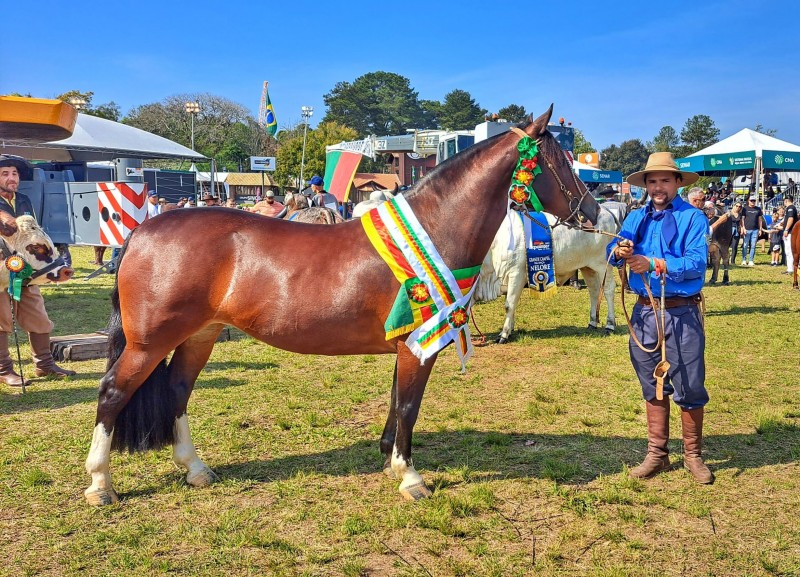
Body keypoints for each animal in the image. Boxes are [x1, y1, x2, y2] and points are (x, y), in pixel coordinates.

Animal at [86, 106, 600, 506]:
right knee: (112, 393)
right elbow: (409, 404)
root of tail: (142, 231)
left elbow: (396, 401)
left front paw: (390, 457)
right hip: (149, 343)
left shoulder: (406, 346)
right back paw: (100, 485)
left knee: (176, 391)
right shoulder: (419, 347)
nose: (593, 212)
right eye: (561, 162)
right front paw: (410, 477)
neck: (435, 227)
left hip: (199, 336)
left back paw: (195, 469)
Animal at [478, 207, 620, 342]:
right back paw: (592, 323)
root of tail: (605, 210)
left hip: (603, 265)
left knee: (608, 290)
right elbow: (511, 303)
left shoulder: (516, 274)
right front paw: (510, 329)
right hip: (587, 267)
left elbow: (509, 305)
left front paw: (504, 334)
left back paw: (610, 325)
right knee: (594, 290)